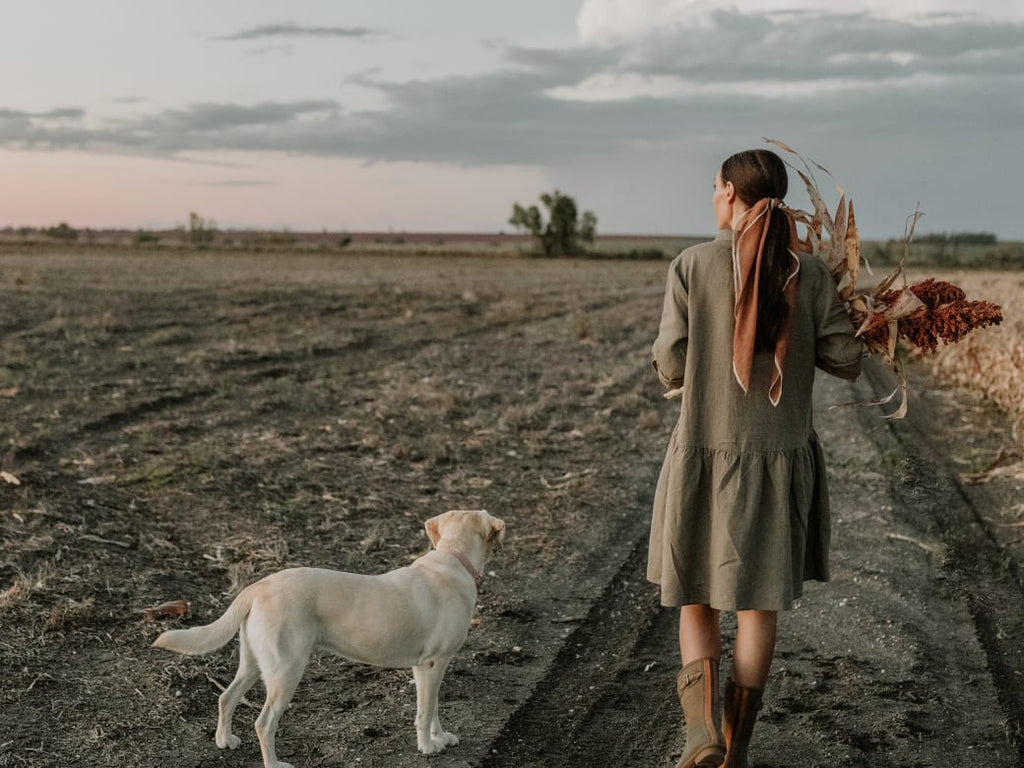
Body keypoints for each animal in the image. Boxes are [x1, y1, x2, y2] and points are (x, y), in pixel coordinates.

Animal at [151, 512, 503, 768]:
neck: (454, 558)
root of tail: (259, 585)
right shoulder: (433, 664)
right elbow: (426, 711)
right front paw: (428, 747)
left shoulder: (428, 667)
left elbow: (432, 708)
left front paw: (440, 737)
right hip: (286, 671)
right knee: (263, 723)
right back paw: (275, 764)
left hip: (254, 664)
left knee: (226, 697)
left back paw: (225, 741)